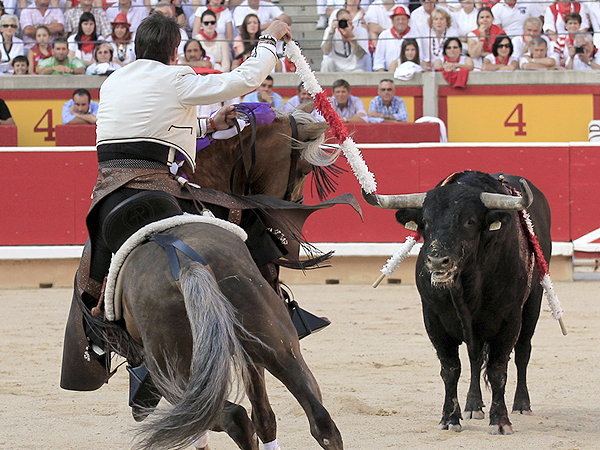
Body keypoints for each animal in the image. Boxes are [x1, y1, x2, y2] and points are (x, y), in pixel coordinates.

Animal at [105, 104, 350, 446]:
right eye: (302, 170)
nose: (287, 227)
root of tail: (188, 262)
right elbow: (265, 414)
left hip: (174, 373)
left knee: (229, 417)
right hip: (278, 343)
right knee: (320, 418)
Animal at [364, 171, 552, 434]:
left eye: (470, 221)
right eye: (426, 222)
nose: (437, 261)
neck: (466, 287)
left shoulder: (509, 320)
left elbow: (498, 370)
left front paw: (500, 421)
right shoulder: (433, 320)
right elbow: (451, 369)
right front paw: (450, 418)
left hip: (534, 301)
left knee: (523, 352)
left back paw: (522, 405)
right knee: (474, 359)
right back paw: (473, 406)